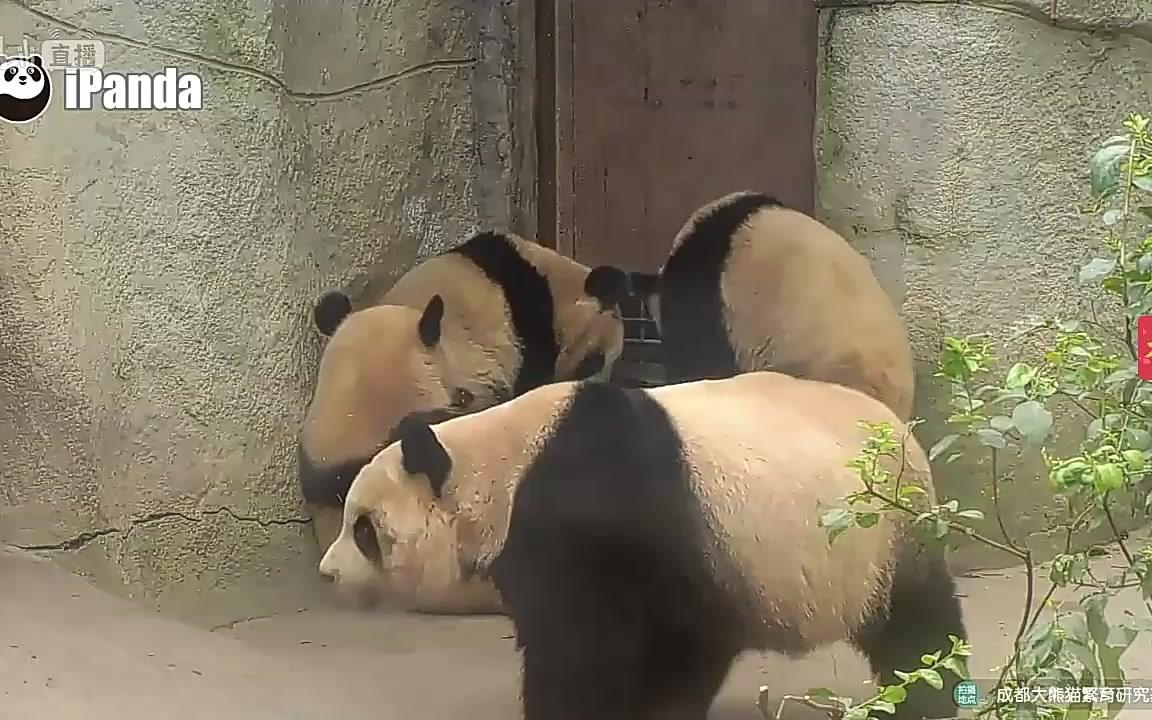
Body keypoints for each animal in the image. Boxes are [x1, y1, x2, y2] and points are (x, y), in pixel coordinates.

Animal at [320, 370, 967, 718]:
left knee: (916, 624)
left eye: (363, 528)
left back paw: (925, 693)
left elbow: (579, 646)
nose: (328, 574)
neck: (498, 467)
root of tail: (902, 428)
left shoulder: (582, 514)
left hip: (886, 530)